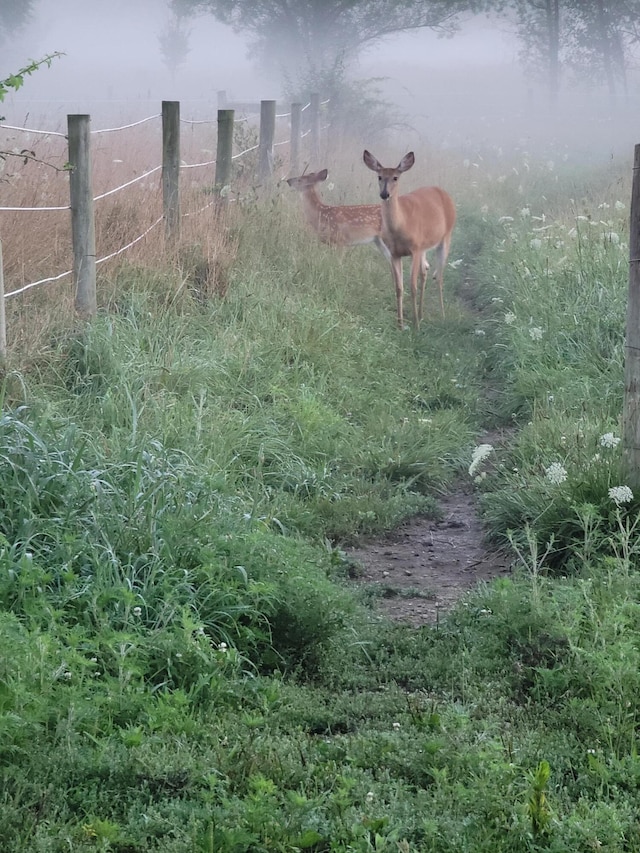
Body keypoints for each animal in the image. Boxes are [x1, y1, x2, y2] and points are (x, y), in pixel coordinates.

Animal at [362, 151, 458, 330]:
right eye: (379, 176)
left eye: (395, 177)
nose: (384, 194)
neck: (401, 225)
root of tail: (443, 192)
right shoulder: (394, 253)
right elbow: (399, 287)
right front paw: (400, 324)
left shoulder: (415, 248)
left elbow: (412, 286)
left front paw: (415, 326)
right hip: (425, 247)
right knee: (425, 271)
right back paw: (420, 314)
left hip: (446, 236)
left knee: (439, 277)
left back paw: (441, 315)